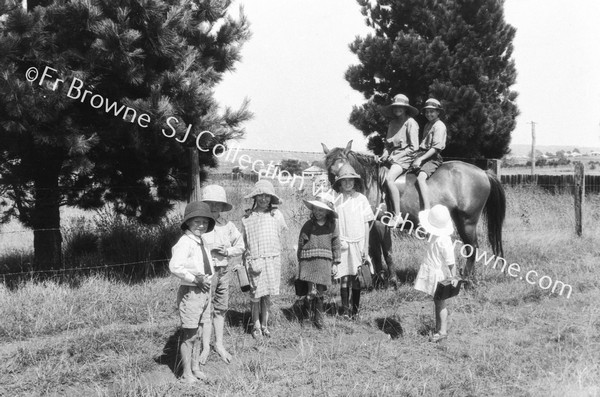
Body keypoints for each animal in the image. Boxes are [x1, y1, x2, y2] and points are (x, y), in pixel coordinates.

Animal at [322, 140, 504, 278]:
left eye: (346, 169)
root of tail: (483, 172)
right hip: (460, 220)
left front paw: (392, 280)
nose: (340, 190)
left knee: (472, 247)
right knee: (470, 247)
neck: (371, 182)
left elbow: (387, 252)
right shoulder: (371, 224)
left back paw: (466, 279)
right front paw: (379, 280)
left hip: (468, 221)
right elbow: (375, 253)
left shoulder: (382, 224)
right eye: (330, 171)